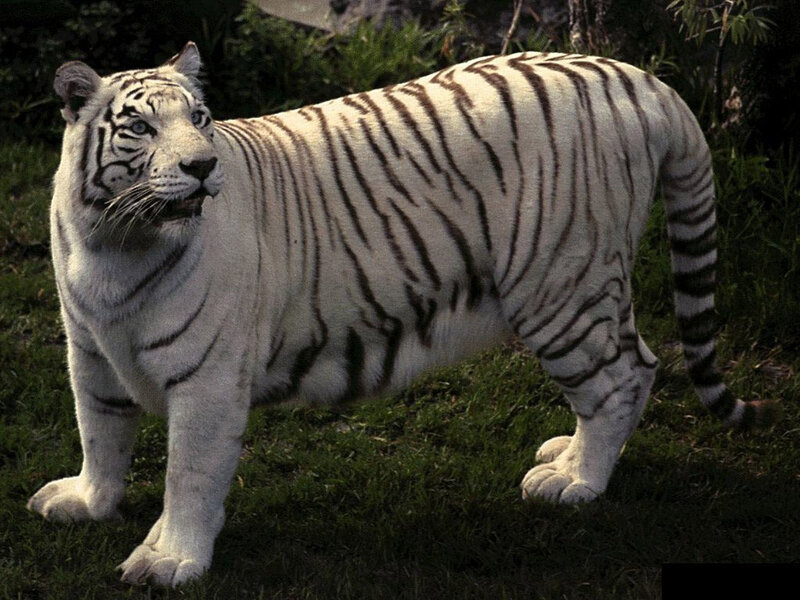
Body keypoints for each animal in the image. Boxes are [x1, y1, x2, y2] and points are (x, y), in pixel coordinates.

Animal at [27, 42, 771, 587]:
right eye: (142, 127)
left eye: (201, 120)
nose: (205, 166)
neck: (115, 242)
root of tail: (640, 79)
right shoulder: (87, 350)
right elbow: (99, 431)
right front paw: (87, 504)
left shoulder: (207, 375)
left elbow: (188, 471)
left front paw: (170, 561)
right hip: (589, 287)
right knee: (629, 367)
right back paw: (568, 453)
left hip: (563, 285)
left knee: (624, 376)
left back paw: (575, 482)